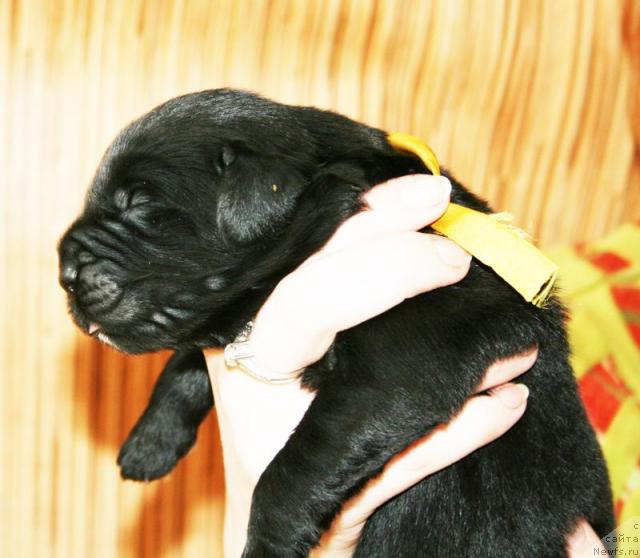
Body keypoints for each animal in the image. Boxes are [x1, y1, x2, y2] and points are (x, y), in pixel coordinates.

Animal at [60, 89, 616, 556]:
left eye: (141, 204)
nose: (63, 271)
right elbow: (189, 356)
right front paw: (151, 439)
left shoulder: (410, 358)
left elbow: (296, 465)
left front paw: (269, 542)